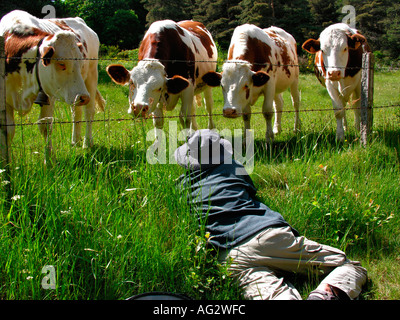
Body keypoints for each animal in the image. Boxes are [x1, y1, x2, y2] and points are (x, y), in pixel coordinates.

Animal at [0, 10, 105, 158]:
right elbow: (8, 131)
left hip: (90, 77)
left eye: (80, 62)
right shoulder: (5, 99)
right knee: (76, 112)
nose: (83, 97)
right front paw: (7, 161)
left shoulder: (48, 95)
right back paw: (75, 140)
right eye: (61, 64)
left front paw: (49, 159)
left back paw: (87, 142)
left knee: (88, 112)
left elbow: (45, 126)